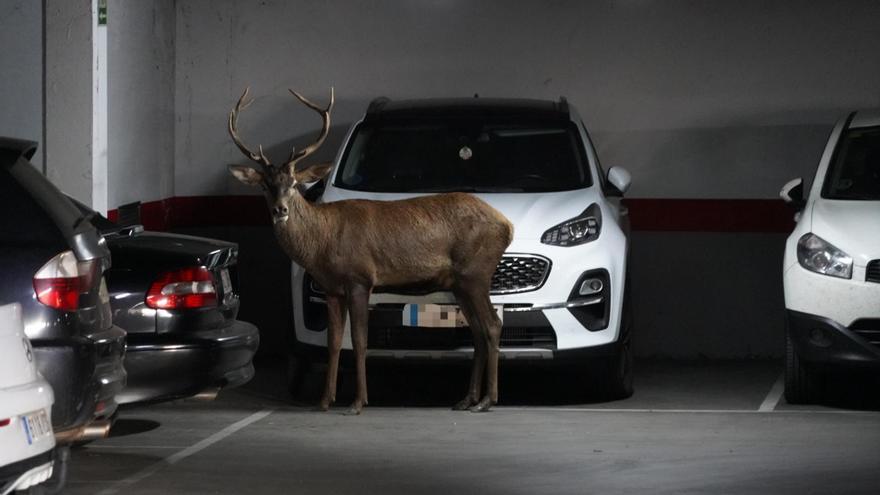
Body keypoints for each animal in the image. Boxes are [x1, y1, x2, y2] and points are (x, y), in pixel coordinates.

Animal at [227, 87, 513, 415]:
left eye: (294, 183)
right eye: (264, 185)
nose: (280, 210)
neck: (323, 240)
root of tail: (508, 225)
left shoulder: (360, 278)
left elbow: (360, 341)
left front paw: (357, 402)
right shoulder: (332, 289)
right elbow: (334, 342)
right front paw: (324, 401)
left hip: (476, 272)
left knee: (492, 325)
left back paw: (488, 400)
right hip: (460, 282)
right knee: (477, 331)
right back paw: (467, 400)